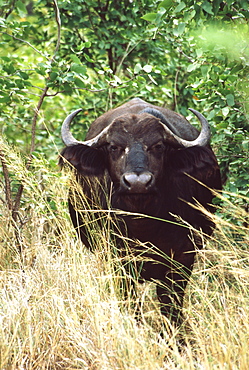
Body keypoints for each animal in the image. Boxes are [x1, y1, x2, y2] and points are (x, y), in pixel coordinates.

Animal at [60, 97, 222, 324]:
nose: (137, 182)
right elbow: (128, 301)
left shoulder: (182, 258)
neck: (143, 223)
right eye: (113, 146)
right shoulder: (116, 259)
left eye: (158, 145)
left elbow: (170, 305)